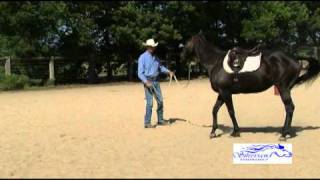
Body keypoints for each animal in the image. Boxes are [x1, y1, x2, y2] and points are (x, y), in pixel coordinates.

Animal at [180, 33, 320, 141]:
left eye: (186, 43)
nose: (181, 56)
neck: (215, 63)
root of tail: (294, 59)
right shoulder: (221, 93)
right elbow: (215, 109)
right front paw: (213, 132)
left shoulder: (226, 92)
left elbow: (231, 111)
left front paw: (235, 132)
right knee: (289, 108)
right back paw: (286, 132)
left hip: (283, 88)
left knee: (289, 108)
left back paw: (284, 134)